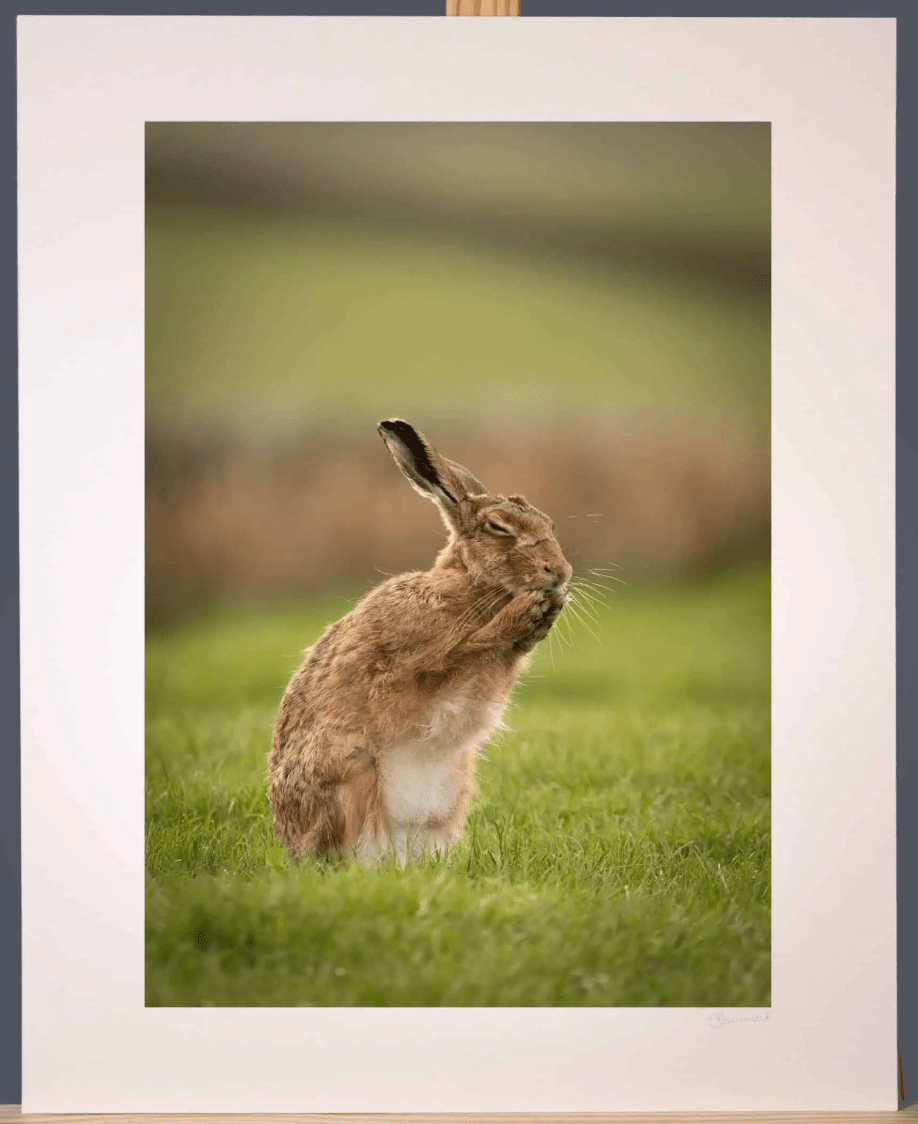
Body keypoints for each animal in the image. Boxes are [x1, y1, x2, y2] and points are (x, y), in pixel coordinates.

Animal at [269, 419, 572, 866]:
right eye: (499, 528)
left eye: (549, 525)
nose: (561, 572)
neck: (468, 583)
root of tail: (291, 845)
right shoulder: (399, 674)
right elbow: (456, 656)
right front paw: (522, 613)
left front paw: (544, 614)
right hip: (352, 773)